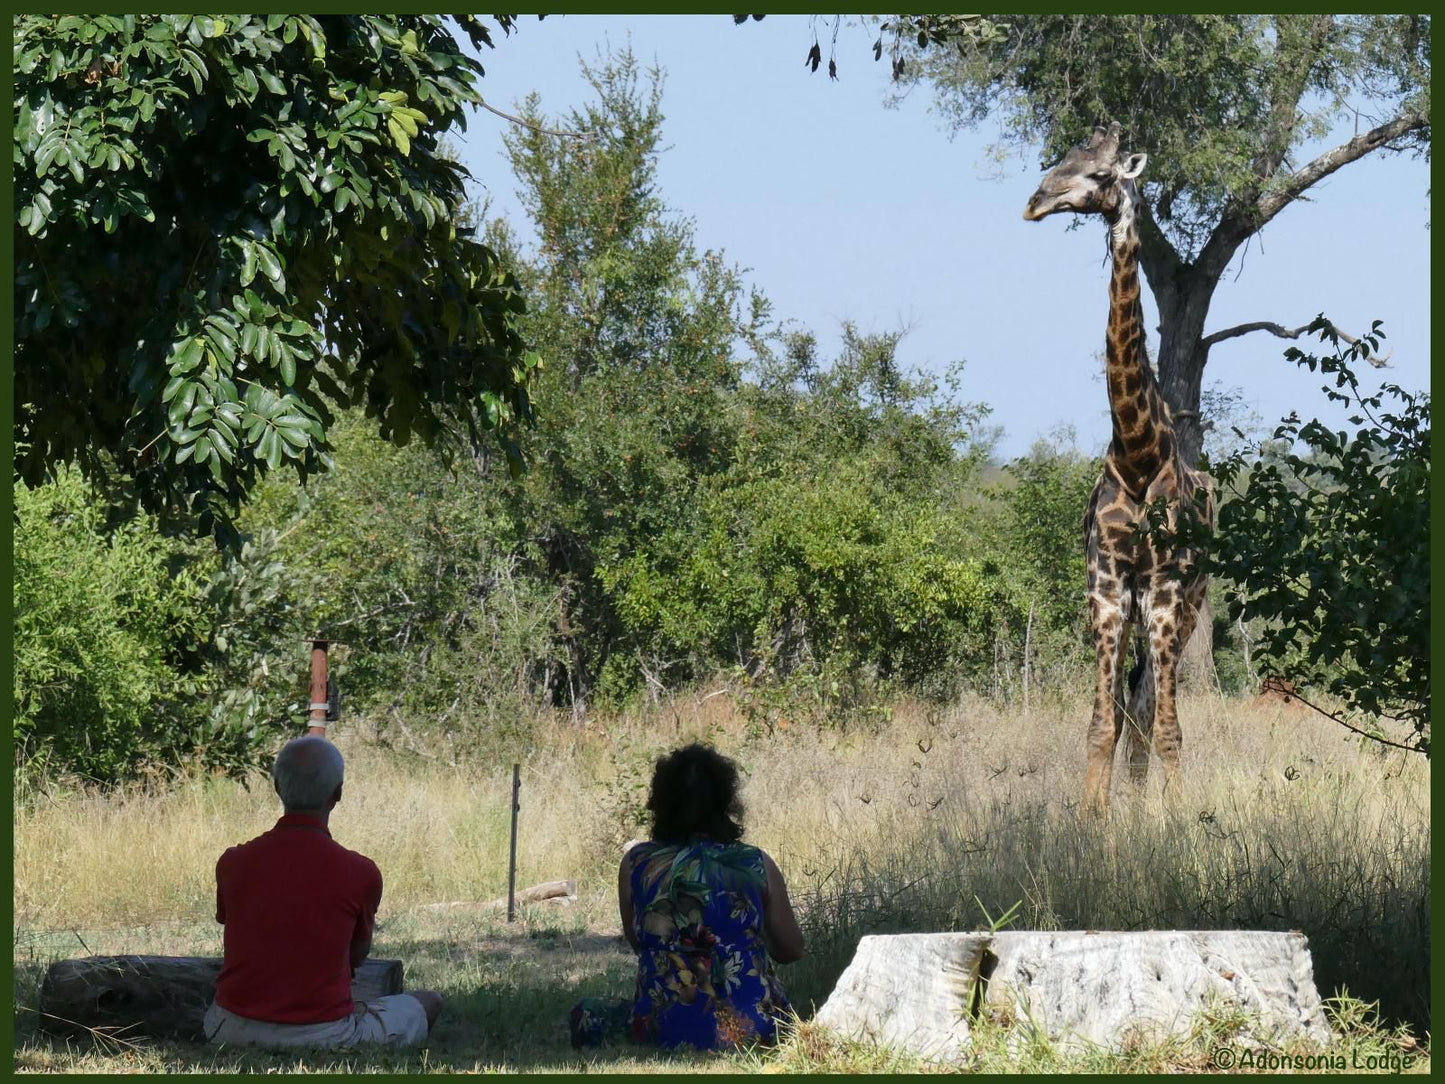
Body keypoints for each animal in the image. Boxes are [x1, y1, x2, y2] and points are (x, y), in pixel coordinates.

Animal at [1023, 122, 1213, 815]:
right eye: (1060, 158)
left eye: (1102, 175)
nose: (1035, 203)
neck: (1137, 451)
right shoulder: (1105, 590)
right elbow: (1100, 723)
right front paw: (1092, 821)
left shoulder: (1162, 593)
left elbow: (1169, 727)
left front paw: (1179, 820)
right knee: (1134, 710)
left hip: (1188, 609)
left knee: (1153, 708)